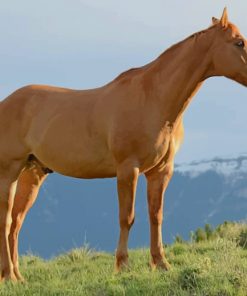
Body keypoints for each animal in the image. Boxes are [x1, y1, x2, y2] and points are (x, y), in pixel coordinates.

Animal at [0, 7, 246, 282]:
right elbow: (127, 217)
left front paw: (161, 263)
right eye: (239, 42)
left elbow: (156, 215)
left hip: (32, 174)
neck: (153, 99)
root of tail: (6, 102)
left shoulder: (161, 171)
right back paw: (9, 276)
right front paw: (123, 265)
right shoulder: (128, 169)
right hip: (9, 171)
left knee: (16, 223)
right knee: (6, 221)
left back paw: (18, 276)